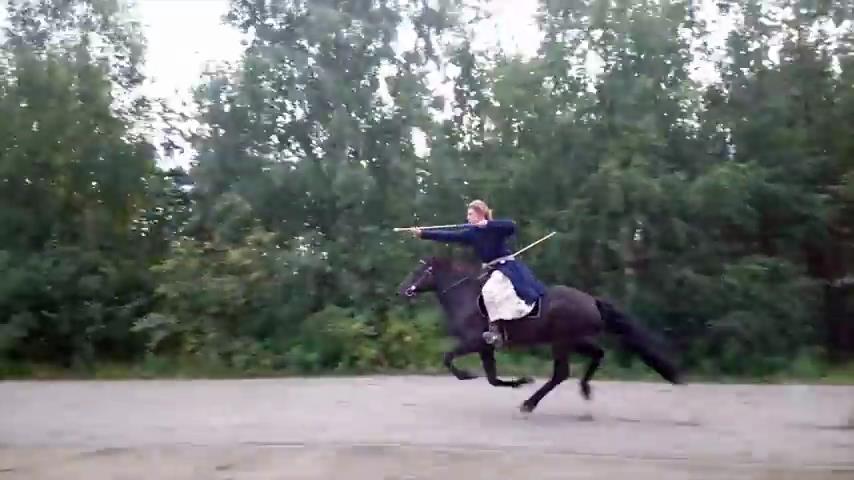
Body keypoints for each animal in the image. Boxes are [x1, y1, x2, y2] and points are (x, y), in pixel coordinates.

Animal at [396, 256, 682, 413]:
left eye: (420, 271)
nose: (402, 289)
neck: (466, 297)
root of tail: (592, 300)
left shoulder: (476, 342)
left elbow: (449, 358)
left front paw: (468, 375)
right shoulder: (486, 348)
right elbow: (492, 379)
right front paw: (519, 381)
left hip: (562, 342)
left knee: (561, 373)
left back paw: (530, 403)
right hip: (575, 340)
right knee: (597, 354)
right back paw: (584, 389)